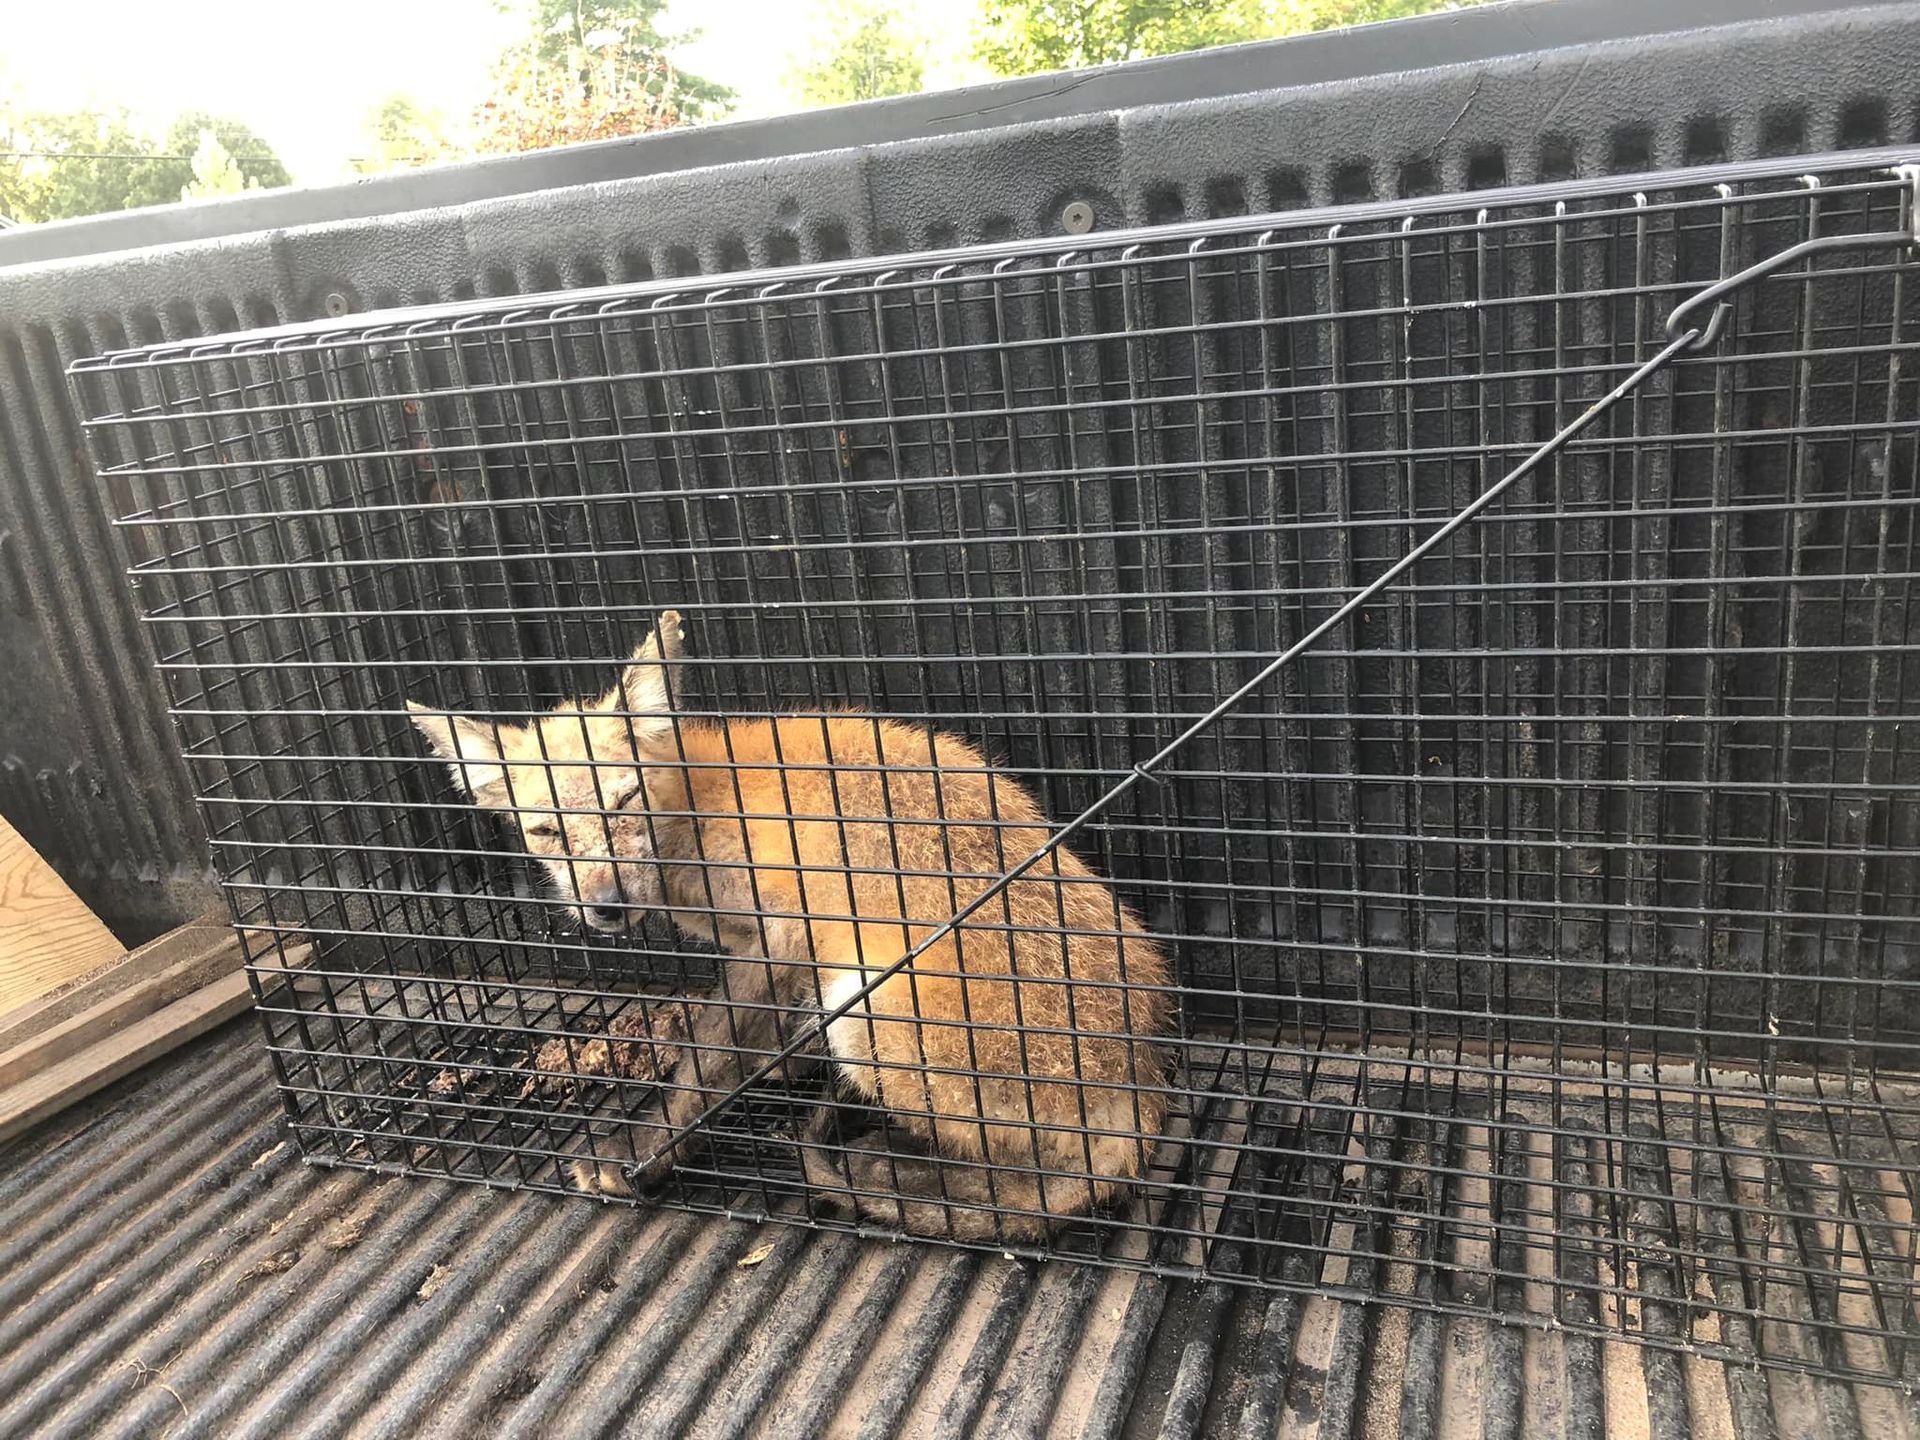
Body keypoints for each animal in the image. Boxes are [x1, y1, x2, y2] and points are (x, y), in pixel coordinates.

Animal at [407, 611, 1170, 1241]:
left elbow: (707, 1061)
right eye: (547, 831)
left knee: (1034, 1184)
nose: (608, 905)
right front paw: (776, 1063)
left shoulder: (786, 933)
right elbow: (750, 1036)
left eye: (623, 801)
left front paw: (643, 1151)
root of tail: (1145, 1087)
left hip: (866, 1006)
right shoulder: (768, 953)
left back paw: (894, 1175)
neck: (698, 807)